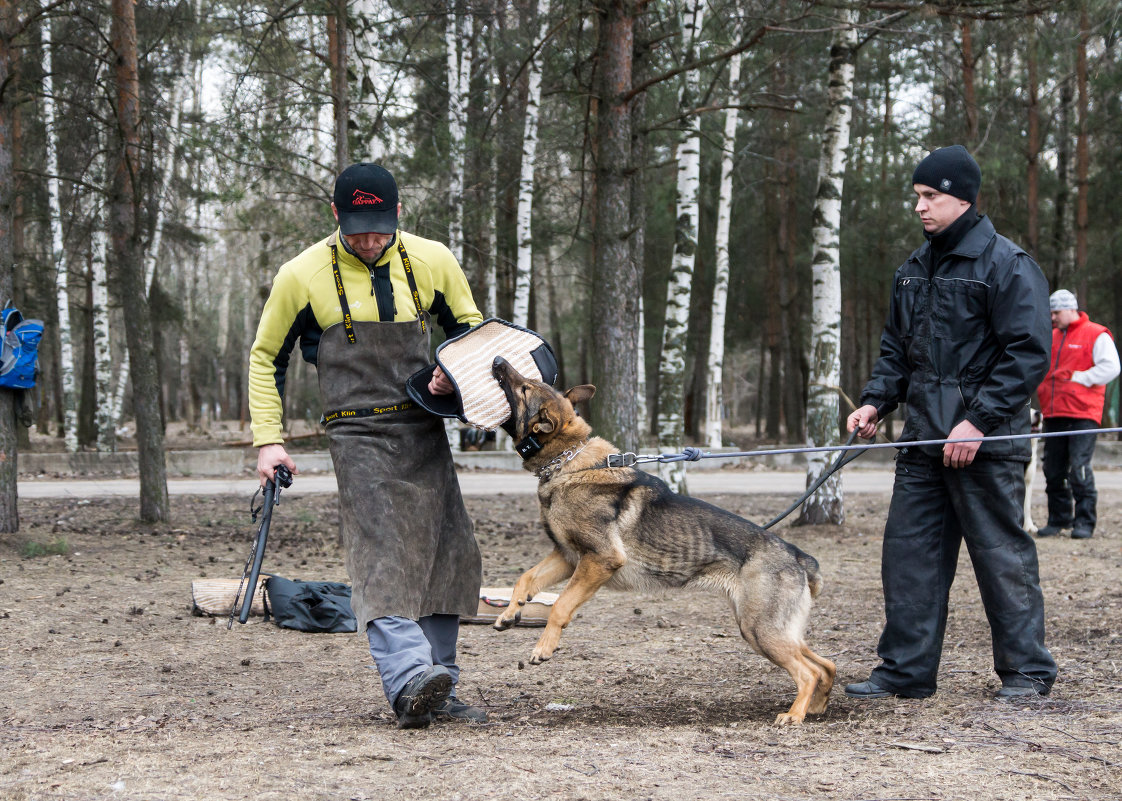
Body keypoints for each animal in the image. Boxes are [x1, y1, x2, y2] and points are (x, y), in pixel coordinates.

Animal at [491, 358, 834, 722]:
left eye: (524, 387)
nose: (498, 361)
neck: (569, 462)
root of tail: (798, 556)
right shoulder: (567, 558)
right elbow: (525, 579)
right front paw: (509, 613)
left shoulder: (599, 560)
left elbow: (559, 606)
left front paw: (544, 646)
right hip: (767, 631)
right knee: (825, 665)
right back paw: (816, 707)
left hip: (760, 631)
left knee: (807, 672)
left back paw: (794, 715)